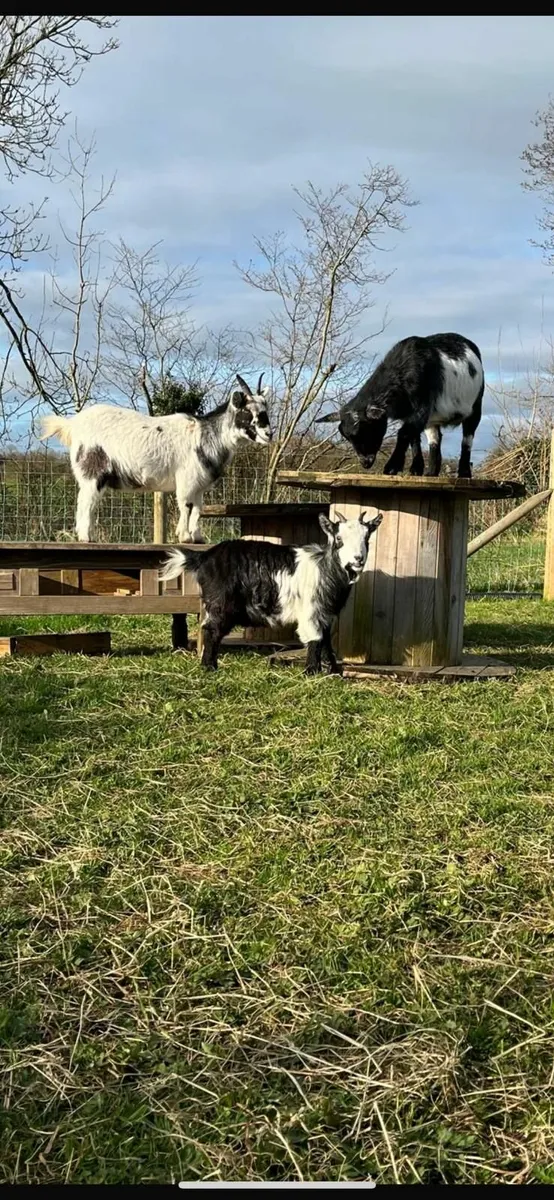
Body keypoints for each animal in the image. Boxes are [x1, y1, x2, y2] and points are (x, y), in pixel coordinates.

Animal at [39, 374, 271, 543]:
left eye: (265, 410)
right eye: (247, 412)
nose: (269, 434)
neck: (205, 435)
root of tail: (72, 425)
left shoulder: (199, 485)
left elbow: (198, 509)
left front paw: (197, 537)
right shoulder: (186, 480)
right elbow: (186, 506)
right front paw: (184, 537)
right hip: (92, 469)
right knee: (85, 502)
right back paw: (86, 537)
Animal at [159, 510, 383, 673]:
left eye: (367, 538)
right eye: (338, 538)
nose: (357, 559)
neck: (325, 568)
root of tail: (205, 557)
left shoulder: (325, 612)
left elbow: (326, 640)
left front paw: (334, 670)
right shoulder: (310, 611)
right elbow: (315, 638)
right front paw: (312, 672)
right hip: (220, 603)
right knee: (211, 630)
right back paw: (209, 667)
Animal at [317, 333, 484, 478]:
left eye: (367, 429)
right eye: (346, 436)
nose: (365, 463)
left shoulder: (422, 407)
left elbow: (404, 433)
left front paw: (392, 467)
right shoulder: (411, 414)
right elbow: (413, 437)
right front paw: (415, 470)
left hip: (475, 406)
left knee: (467, 438)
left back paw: (464, 473)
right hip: (434, 419)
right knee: (435, 439)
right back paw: (431, 473)